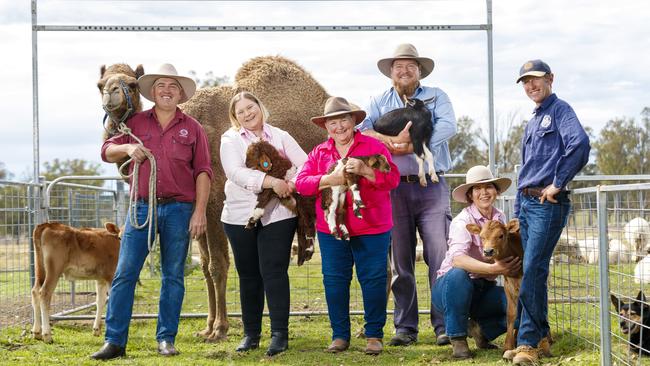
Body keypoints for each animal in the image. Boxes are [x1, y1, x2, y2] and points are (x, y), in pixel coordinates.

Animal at [100, 55, 330, 342]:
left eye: (132, 84)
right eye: (99, 84)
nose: (111, 94)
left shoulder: (214, 205)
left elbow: (218, 264)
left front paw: (220, 328)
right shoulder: (195, 213)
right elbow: (205, 265)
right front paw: (208, 326)